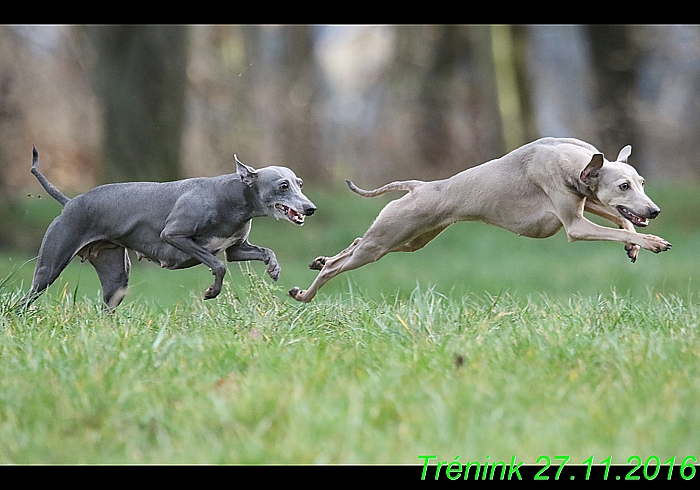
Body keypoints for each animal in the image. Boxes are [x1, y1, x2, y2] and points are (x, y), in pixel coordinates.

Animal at [21, 146, 316, 310]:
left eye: (300, 183)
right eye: (283, 185)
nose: (310, 208)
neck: (232, 196)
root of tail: (70, 203)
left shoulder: (236, 249)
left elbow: (263, 252)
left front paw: (274, 268)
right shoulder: (175, 236)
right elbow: (218, 265)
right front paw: (212, 291)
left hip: (116, 278)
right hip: (49, 267)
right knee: (25, 299)